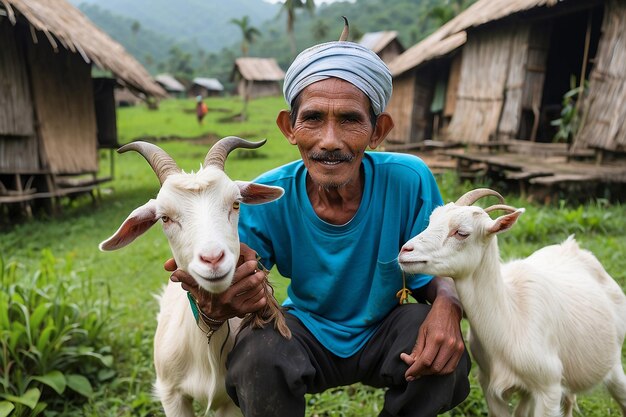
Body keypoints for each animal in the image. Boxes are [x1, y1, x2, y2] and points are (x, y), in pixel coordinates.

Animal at [398, 188, 624, 416]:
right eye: (431, 220)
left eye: (461, 233)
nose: (405, 250)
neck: (511, 321)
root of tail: (574, 247)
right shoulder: (490, 385)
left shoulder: (548, 387)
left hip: (613, 363)